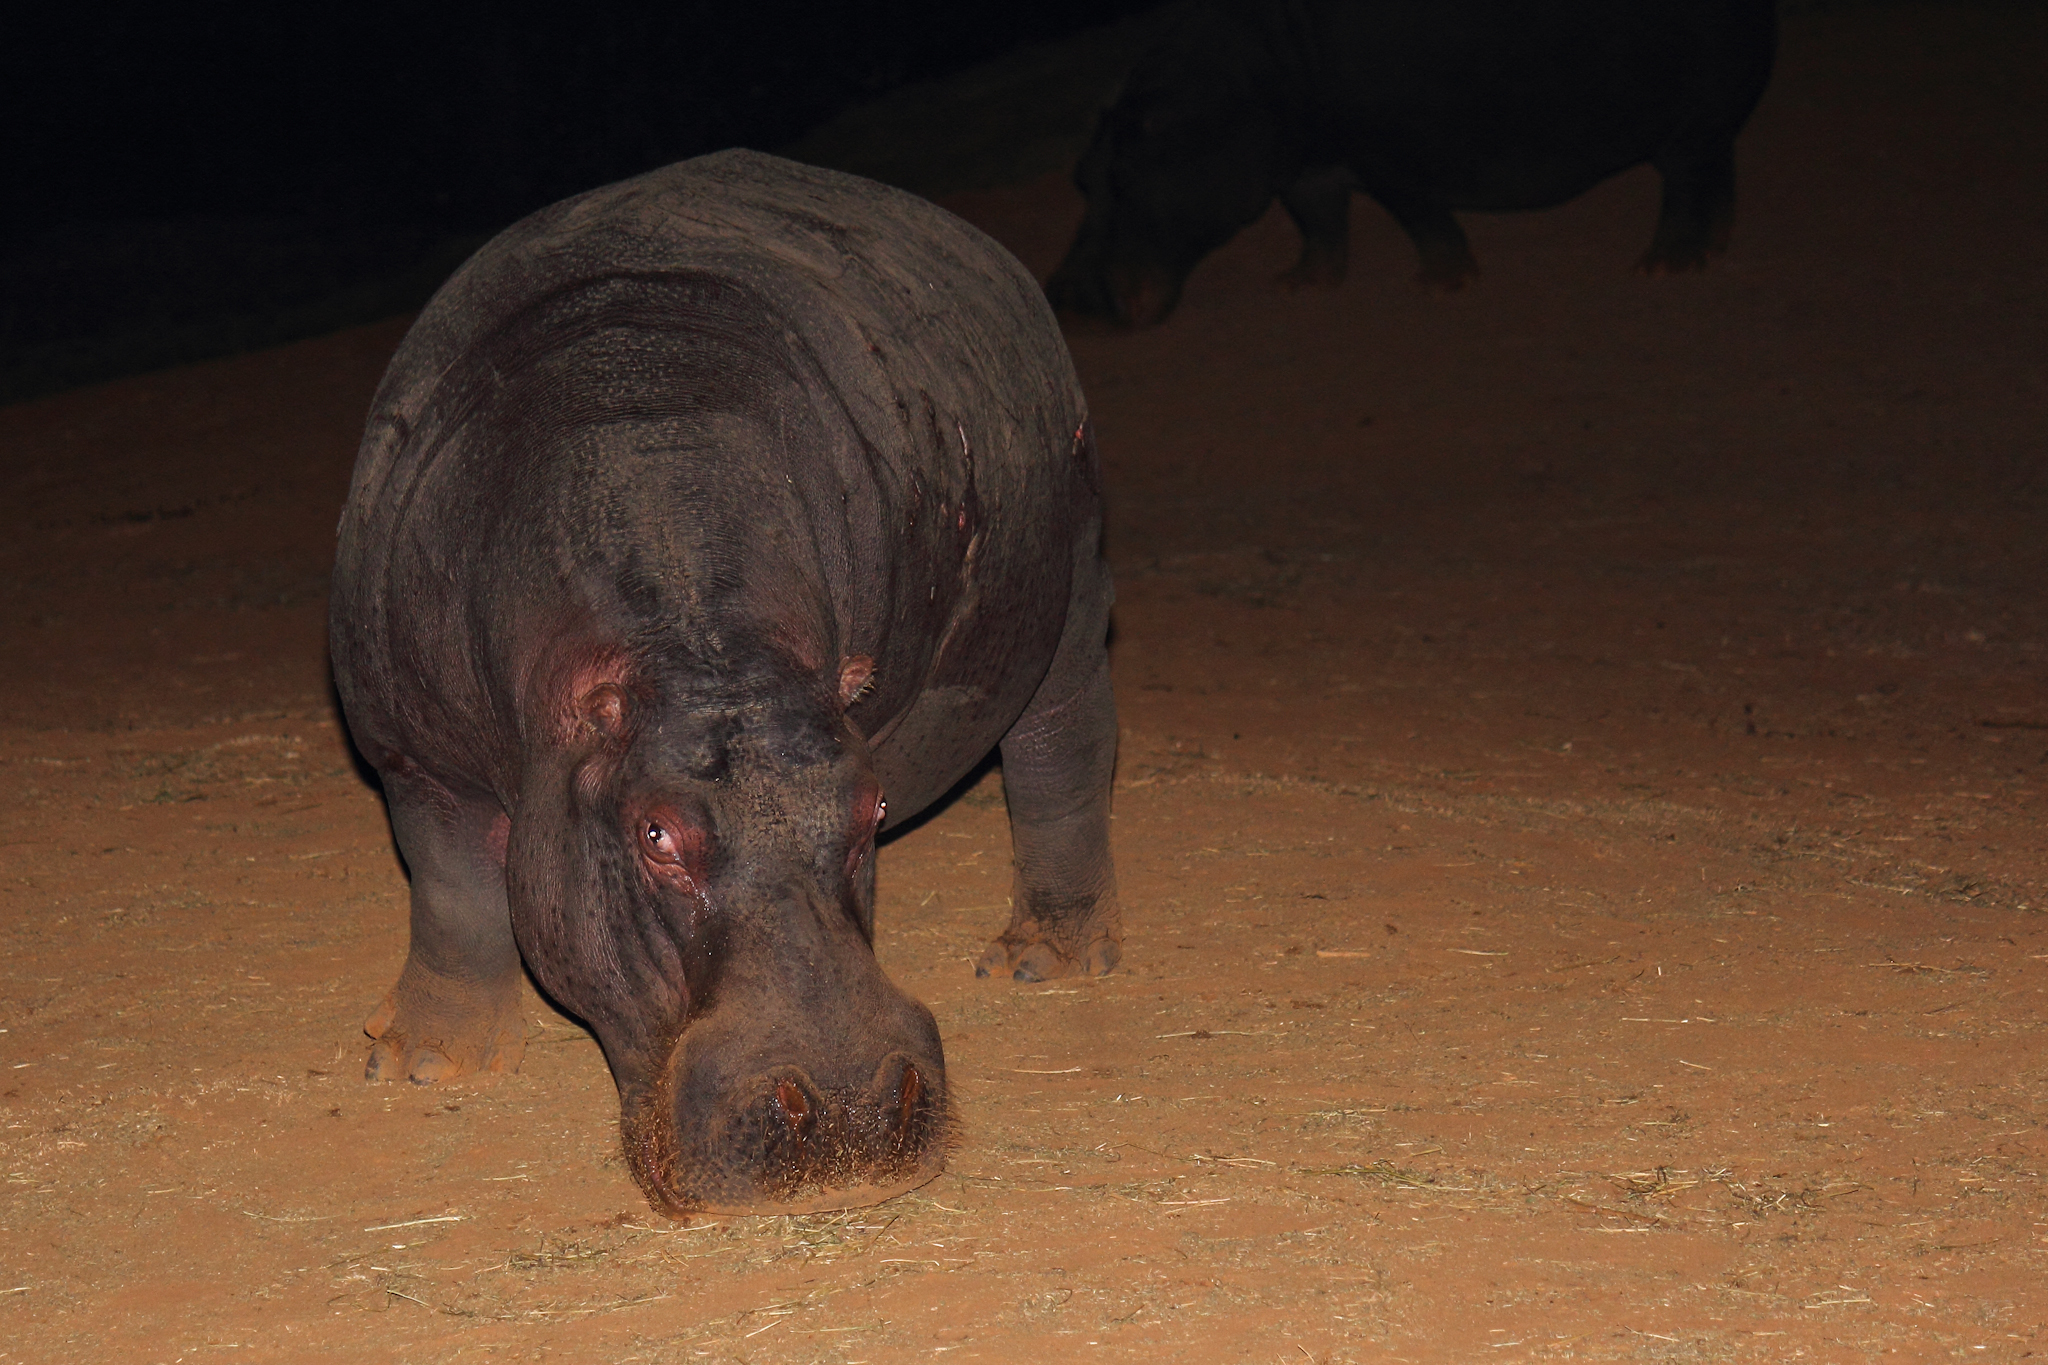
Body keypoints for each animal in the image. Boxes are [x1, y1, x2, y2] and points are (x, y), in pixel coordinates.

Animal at [327, 149, 1122, 1219]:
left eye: (874, 808)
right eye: (656, 833)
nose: (848, 1106)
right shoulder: (414, 753)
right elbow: (451, 884)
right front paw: (420, 1064)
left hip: (1071, 568)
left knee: (1061, 744)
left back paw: (1041, 960)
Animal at [1048, 0, 1785, 327]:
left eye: (1125, 176)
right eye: (1082, 175)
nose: (1064, 296)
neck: (1226, 90)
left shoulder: (1387, 156)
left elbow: (1419, 214)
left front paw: (1442, 285)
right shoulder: (1308, 167)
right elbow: (1320, 225)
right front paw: (1299, 284)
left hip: (1685, 122)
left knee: (1684, 186)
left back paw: (1662, 265)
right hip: (1712, 119)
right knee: (1719, 174)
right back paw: (1713, 246)